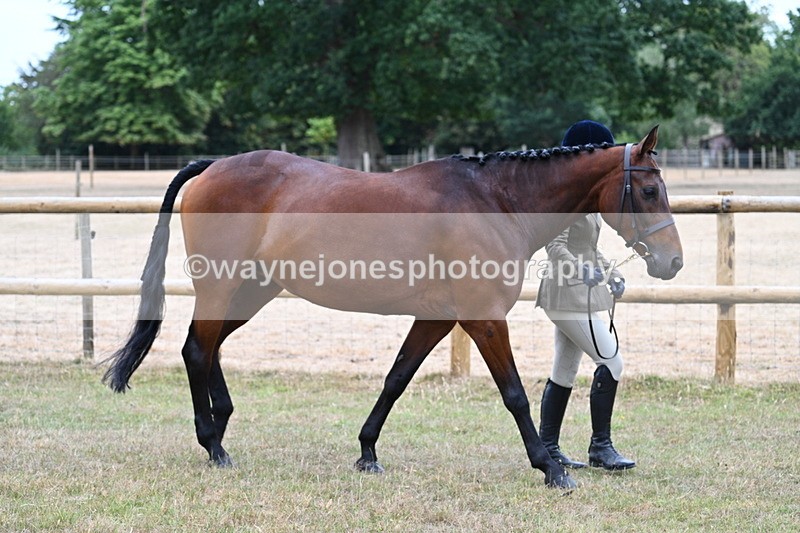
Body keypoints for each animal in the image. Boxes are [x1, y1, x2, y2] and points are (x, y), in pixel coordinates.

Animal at [103, 125, 682, 491]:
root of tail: (214, 167)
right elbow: (515, 394)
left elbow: (396, 379)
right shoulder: (484, 319)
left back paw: (221, 431)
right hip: (224, 288)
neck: (495, 202)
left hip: (252, 292)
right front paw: (551, 469)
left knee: (208, 347)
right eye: (650, 190)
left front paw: (367, 453)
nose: (672, 261)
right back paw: (213, 444)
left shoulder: (437, 318)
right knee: (197, 350)